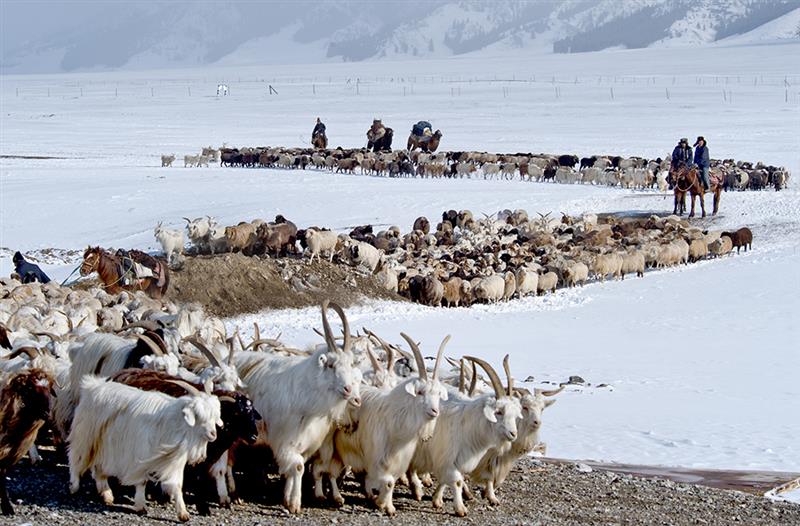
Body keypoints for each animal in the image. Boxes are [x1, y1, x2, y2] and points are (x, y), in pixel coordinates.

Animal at [66, 378, 220, 520]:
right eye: (198, 415)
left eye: (215, 415)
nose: (213, 434)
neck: (171, 424)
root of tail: (92, 385)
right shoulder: (140, 456)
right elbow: (142, 482)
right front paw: (141, 507)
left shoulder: (175, 461)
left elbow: (177, 485)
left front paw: (183, 514)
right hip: (85, 437)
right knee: (75, 457)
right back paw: (74, 487)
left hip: (103, 445)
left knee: (99, 468)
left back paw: (106, 494)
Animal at [233, 304, 360, 512]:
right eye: (330, 365)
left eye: (351, 364)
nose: (348, 390)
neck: (307, 390)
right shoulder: (285, 440)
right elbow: (298, 467)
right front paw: (294, 503)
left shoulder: (306, 441)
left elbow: (295, 468)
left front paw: (287, 498)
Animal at [312, 334, 450, 516]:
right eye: (420, 392)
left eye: (438, 394)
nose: (435, 411)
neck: (395, 420)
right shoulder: (378, 455)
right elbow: (388, 481)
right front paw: (386, 505)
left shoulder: (397, 458)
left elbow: (390, 481)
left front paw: (383, 503)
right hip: (327, 445)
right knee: (320, 469)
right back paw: (320, 495)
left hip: (339, 449)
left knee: (333, 473)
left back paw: (337, 497)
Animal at [410, 356, 520, 516]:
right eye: (498, 412)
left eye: (515, 415)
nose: (513, 434)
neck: (468, 425)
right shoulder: (447, 455)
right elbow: (457, 481)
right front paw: (460, 509)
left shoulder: (453, 460)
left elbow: (447, 479)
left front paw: (437, 500)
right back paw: (416, 490)